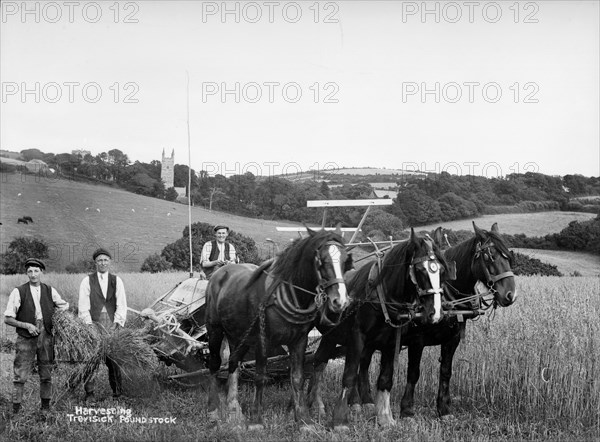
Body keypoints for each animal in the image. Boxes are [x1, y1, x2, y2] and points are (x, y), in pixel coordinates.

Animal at [205, 228, 352, 432]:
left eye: (346, 261)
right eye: (321, 260)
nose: (340, 301)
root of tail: (221, 271)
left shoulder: (299, 340)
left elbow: (297, 377)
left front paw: (304, 420)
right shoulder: (262, 339)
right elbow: (260, 377)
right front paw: (256, 420)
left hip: (239, 335)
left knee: (233, 362)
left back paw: (234, 409)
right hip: (214, 329)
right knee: (214, 364)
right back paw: (213, 410)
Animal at [308, 230, 452, 430]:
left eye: (442, 270)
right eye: (420, 270)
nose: (436, 312)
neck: (381, 295)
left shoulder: (392, 343)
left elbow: (385, 378)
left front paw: (385, 417)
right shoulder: (357, 337)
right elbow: (349, 375)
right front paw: (340, 420)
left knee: (323, 361)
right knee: (315, 361)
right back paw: (312, 403)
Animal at [396, 223, 516, 420]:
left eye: (509, 256)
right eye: (488, 256)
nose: (510, 294)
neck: (446, 298)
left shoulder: (452, 339)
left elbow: (446, 371)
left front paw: (443, 409)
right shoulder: (416, 341)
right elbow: (413, 373)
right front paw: (406, 410)